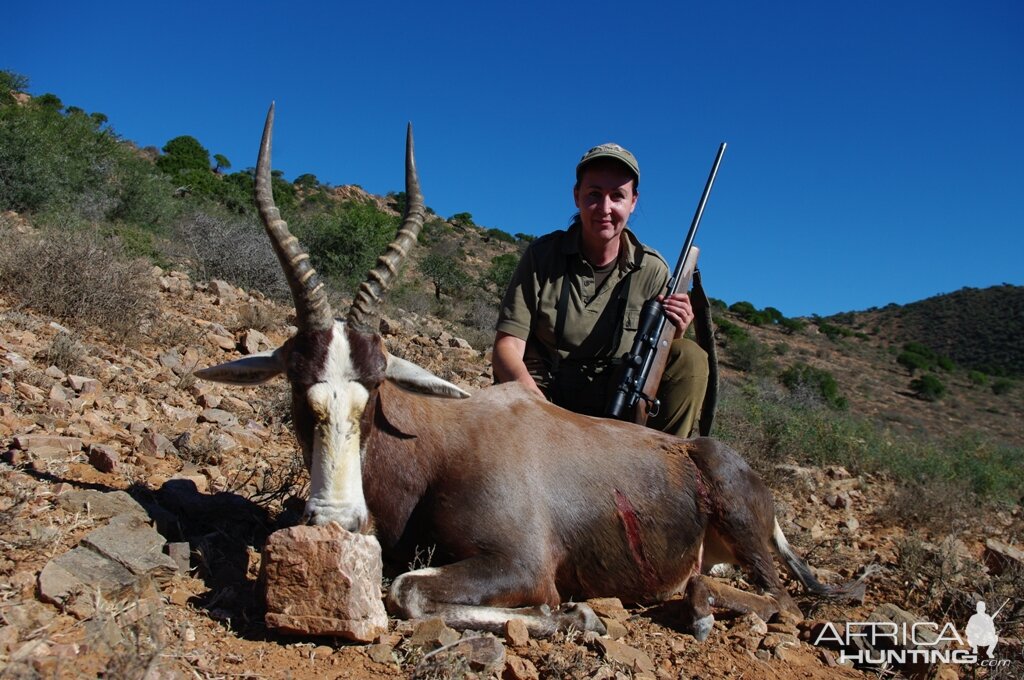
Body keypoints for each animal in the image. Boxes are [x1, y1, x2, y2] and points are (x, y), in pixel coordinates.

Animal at [197, 104, 872, 639]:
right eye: (298, 391)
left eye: (374, 389)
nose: (336, 523)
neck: (444, 442)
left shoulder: (523, 564)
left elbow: (407, 589)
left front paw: (577, 613)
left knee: (781, 601)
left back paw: (700, 610)